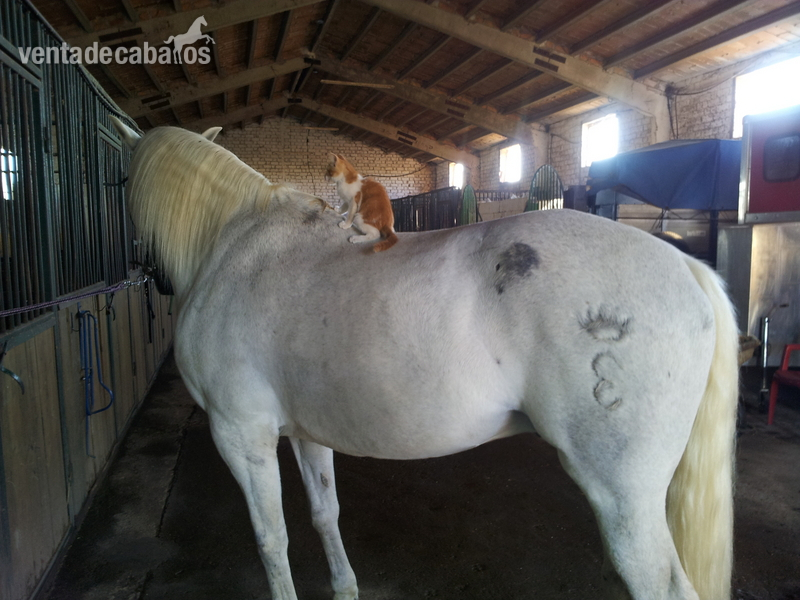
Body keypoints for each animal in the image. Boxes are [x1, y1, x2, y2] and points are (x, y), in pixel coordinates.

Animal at [109, 117, 738, 600]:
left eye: (121, 178)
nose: (151, 279)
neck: (234, 246)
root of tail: (685, 266)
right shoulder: (304, 432)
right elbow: (323, 514)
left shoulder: (241, 434)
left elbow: (271, 539)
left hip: (623, 493)